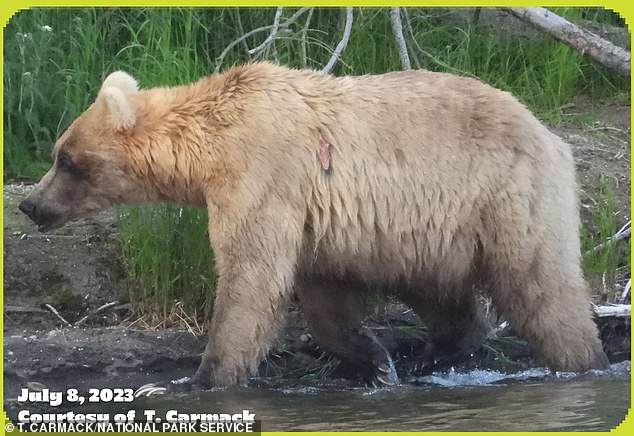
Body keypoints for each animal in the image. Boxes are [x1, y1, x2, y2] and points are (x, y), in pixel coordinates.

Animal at [19, 61, 608, 384]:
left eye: (65, 158)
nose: (30, 205)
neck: (208, 150)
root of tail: (548, 133)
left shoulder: (264, 173)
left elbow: (250, 279)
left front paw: (204, 377)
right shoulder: (311, 217)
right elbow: (321, 295)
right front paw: (374, 358)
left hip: (506, 197)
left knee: (541, 287)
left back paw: (585, 361)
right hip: (429, 233)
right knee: (438, 291)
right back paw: (432, 354)